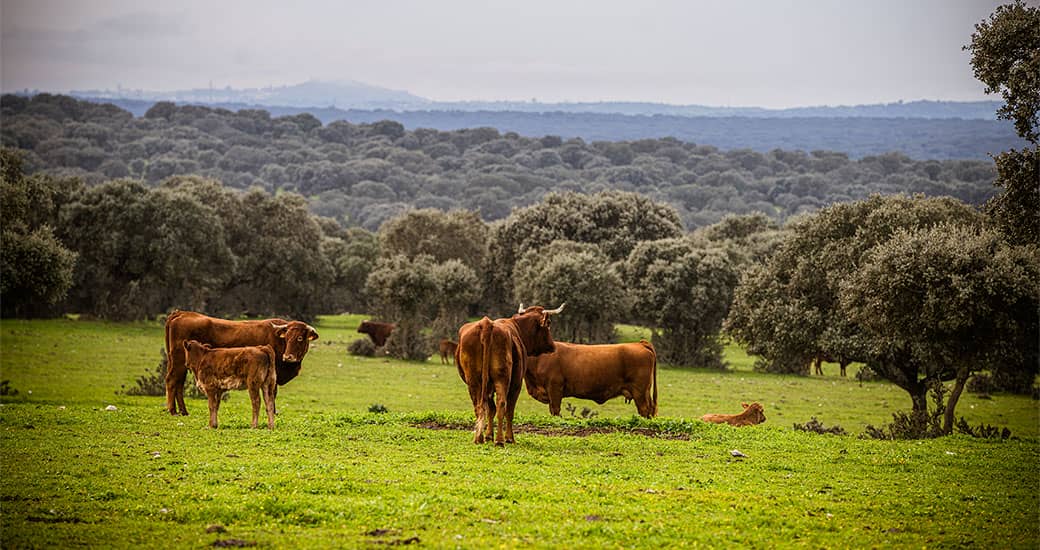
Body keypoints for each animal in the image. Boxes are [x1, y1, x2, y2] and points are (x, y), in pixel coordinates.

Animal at [161, 311, 316, 413]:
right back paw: (173, 411)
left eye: (300, 338)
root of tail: (181, 313)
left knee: (178, 383)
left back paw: (183, 411)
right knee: (172, 380)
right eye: (287, 337)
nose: (288, 357)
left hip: (178, 363)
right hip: (179, 363)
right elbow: (272, 393)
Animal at [457, 301, 565, 442]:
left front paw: (488, 435)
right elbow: (509, 411)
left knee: (479, 406)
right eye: (549, 323)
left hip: (474, 381)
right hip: (502, 379)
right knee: (502, 405)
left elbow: (490, 409)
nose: (553, 346)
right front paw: (509, 438)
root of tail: (487, 324)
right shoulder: (516, 384)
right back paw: (501, 440)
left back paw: (479, 438)